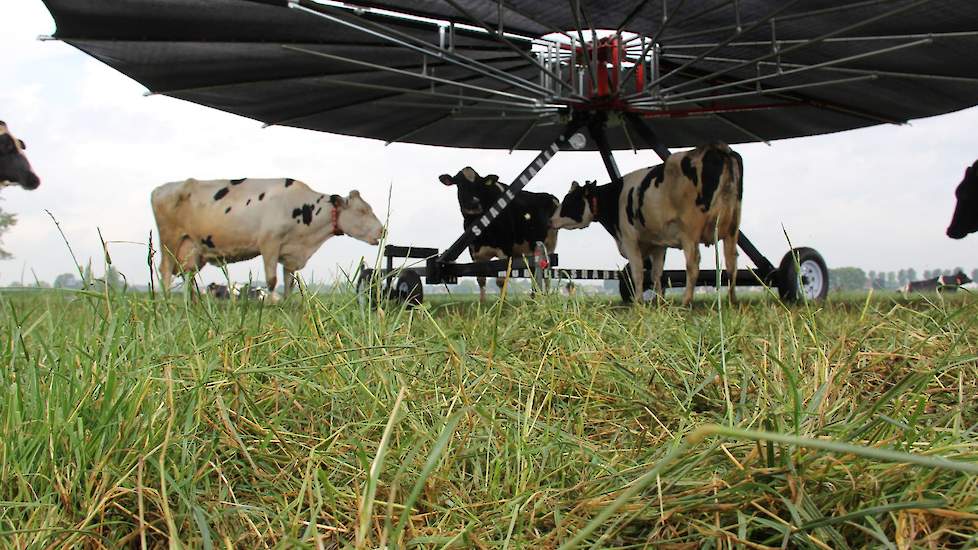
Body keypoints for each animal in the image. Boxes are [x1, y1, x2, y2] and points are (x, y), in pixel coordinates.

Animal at [151, 179, 384, 300]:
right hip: (169, 239)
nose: (382, 231)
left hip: (193, 248)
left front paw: (288, 303)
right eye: (362, 210)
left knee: (188, 276)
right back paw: (166, 301)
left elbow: (289, 281)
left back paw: (192, 302)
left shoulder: (290, 252)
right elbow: (272, 279)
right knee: (165, 269)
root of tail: (161, 188)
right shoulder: (269, 242)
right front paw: (272, 302)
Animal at [436, 167, 556, 302]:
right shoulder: (474, 252)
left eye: (480, 184)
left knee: (546, 276)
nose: (473, 203)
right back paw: (533, 298)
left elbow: (501, 280)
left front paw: (502, 302)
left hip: (548, 248)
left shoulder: (505, 249)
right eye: (459, 184)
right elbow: (481, 279)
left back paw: (545, 298)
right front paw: (482, 302)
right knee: (533, 273)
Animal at [548, 142, 740, 306]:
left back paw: (686, 302)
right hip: (732, 228)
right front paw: (659, 302)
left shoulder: (630, 239)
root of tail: (716, 147)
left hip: (690, 232)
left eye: (570, 201)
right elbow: (656, 274)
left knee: (693, 264)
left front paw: (638, 301)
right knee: (731, 262)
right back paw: (731, 301)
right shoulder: (658, 244)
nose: (550, 220)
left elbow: (638, 272)